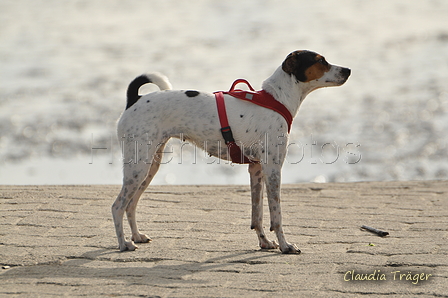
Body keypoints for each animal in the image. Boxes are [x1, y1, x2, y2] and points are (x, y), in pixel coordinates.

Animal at [111, 50, 350, 253]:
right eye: (321, 60)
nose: (348, 70)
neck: (277, 99)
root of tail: (134, 99)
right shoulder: (273, 169)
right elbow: (276, 216)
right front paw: (285, 246)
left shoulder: (256, 170)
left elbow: (257, 215)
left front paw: (264, 242)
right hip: (138, 167)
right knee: (117, 206)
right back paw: (124, 244)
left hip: (149, 166)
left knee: (131, 204)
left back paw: (136, 236)